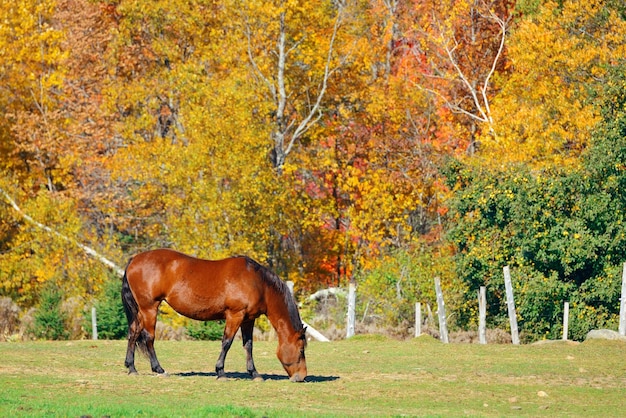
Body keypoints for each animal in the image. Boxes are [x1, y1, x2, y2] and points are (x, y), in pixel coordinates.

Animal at [120, 248, 306, 382]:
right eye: (302, 348)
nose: (302, 377)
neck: (258, 283)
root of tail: (134, 260)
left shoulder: (248, 319)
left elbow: (248, 346)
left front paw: (254, 373)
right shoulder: (235, 315)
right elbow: (227, 343)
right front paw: (220, 372)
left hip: (141, 311)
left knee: (133, 333)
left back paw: (131, 368)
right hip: (149, 308)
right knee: (148, 337)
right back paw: (159, 369)